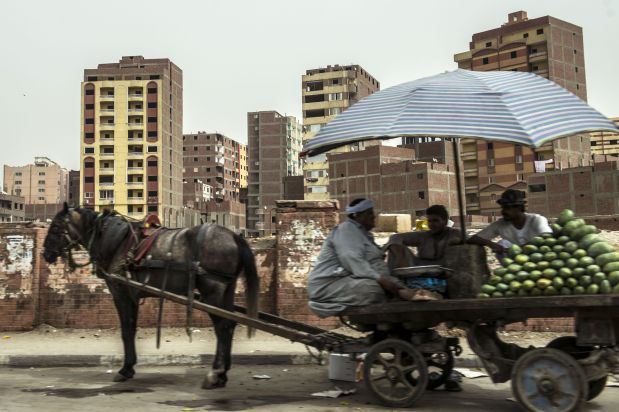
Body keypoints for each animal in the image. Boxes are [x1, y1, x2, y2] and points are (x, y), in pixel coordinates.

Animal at [41, 203, 260, 390]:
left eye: (56, 227)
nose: (46, 254)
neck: (117, 241)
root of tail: (234, 236)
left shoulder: (120, 293)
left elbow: (126, 330)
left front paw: (125, 369)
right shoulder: (133, 296)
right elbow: (131, 328)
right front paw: (129, 367)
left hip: (212, 290)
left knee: (223, 326)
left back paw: (216, 373)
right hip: (227, 290)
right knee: (229, 325)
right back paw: (222, 373)